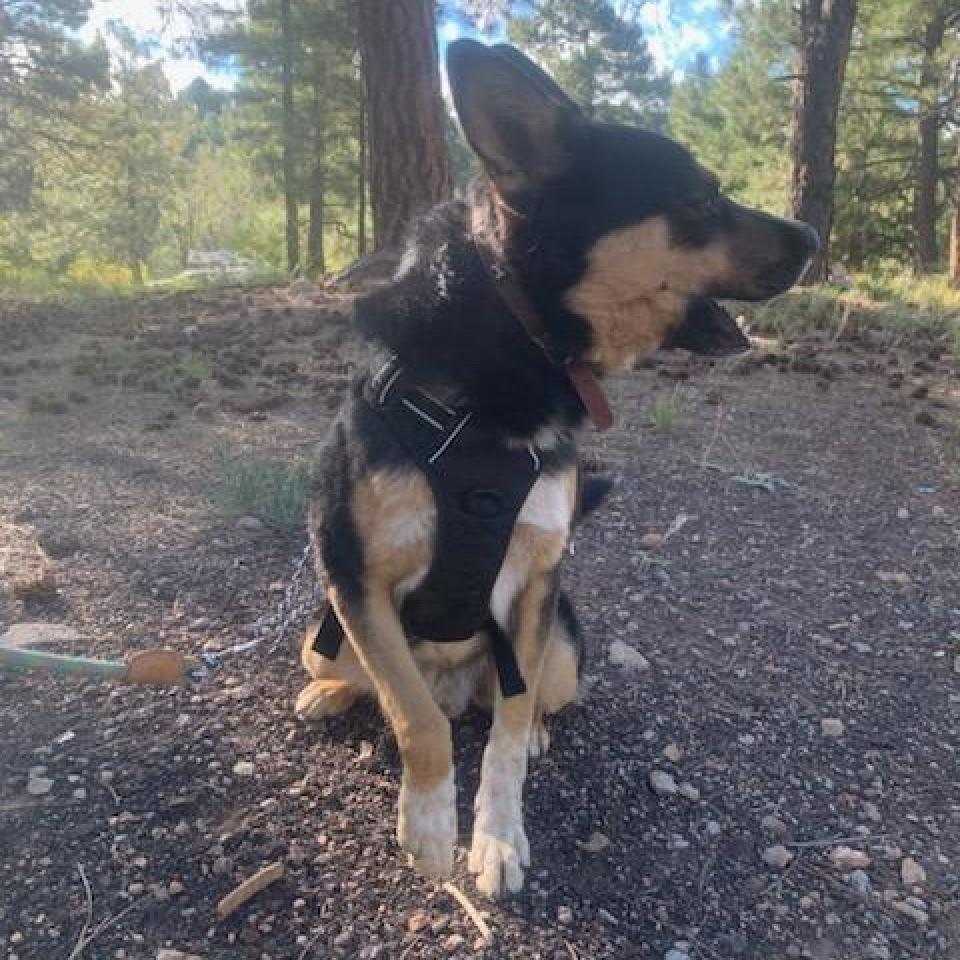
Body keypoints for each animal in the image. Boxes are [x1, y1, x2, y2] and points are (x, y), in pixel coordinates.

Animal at [294, 39, 816, 900]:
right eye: (703, 197)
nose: (812, 235)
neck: (513, 345)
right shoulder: (353, 573)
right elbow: (414, 717)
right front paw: (429, 824)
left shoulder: (536, 580)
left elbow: (504, 732)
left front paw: (498, 838)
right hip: (324, 631)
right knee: (392, 687)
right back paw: (331, 691)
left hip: (565, 649)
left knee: (524, 697)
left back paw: (532, 727)